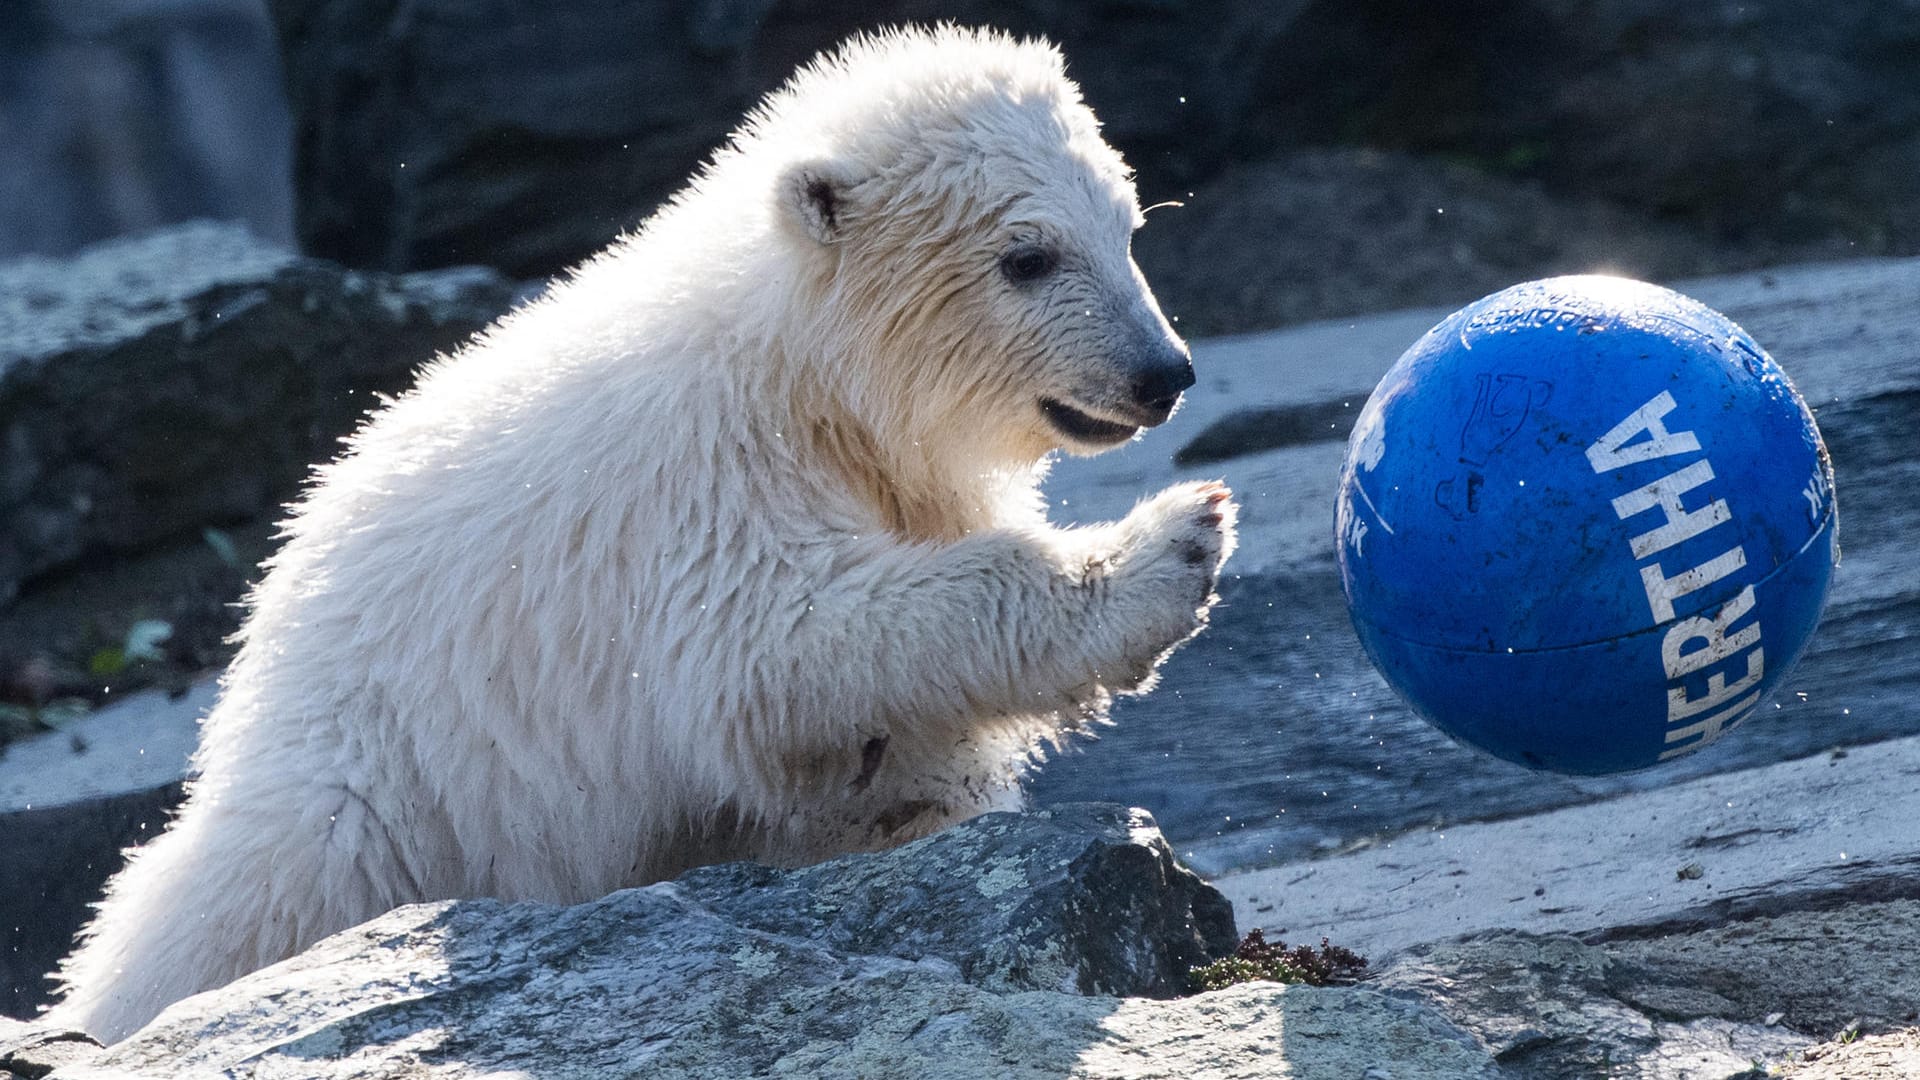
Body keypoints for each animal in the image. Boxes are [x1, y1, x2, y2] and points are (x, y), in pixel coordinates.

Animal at [60, 23, 1236, 1037]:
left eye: (1129, 229)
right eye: (1027, 257)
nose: (1164, 373)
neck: (803, 371)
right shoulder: (702, 486)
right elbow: (781, 644)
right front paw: (1174, 547)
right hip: (381, 800)